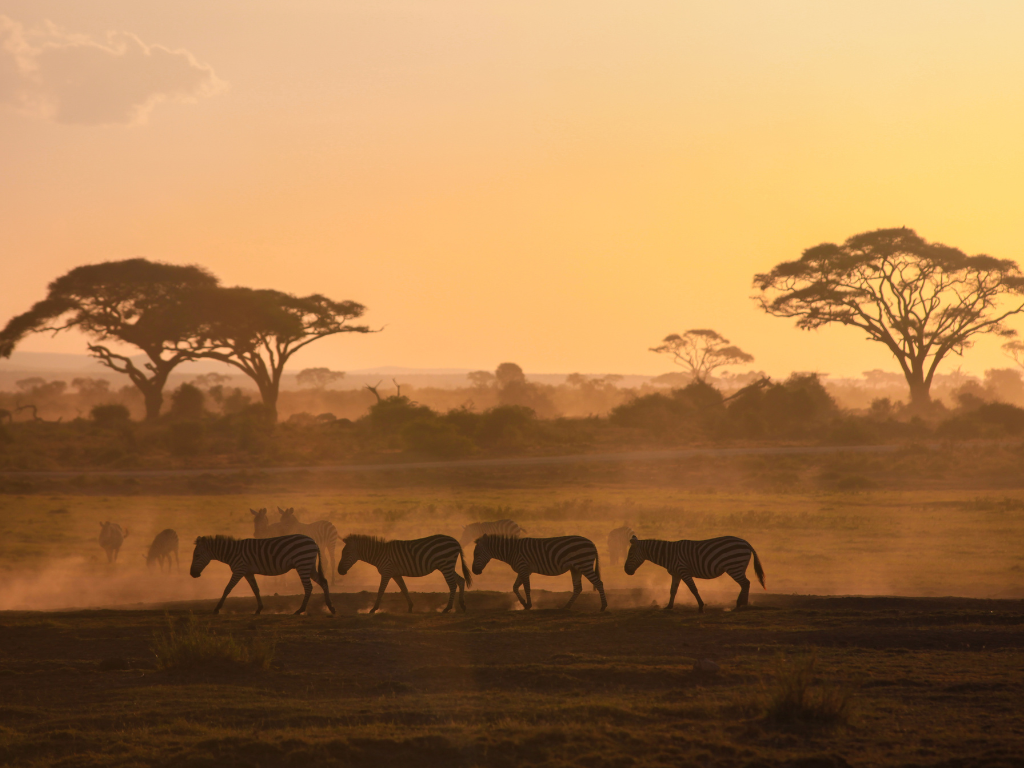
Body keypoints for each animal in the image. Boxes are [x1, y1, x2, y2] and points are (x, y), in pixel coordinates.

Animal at [189, 536, 335, 618]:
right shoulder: (247, 572)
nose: (192, 574)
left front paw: (217, 609)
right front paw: (259, 609)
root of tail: (313, 542)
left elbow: (227, 589)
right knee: (324, 582)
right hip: (309, 565)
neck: (232, 553)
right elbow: (256, 590)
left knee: (308, 587)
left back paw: (300, 610)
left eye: (196, 555)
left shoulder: (239, 570)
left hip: (302, 563)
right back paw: (330, 607)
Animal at [339, 536, 475, 614]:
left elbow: (381, 590)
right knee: (461, 580)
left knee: (452, 585)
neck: (379, 554)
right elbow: (404, 589)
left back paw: (447, 608)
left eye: (347, 553)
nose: (339, 571)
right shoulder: (395, 574)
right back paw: (462, 605)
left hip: (445, 565)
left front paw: (373, 609)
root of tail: (455, 541)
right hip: (447, 566)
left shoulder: (387, 572)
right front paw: (410, 607)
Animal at [473, 536, 606, 614]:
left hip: (584, 564)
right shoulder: (523, 569)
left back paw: (603, 606)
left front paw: (529, 604)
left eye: (476, 553)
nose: (474, 571)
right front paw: (524, 603)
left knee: (599, 583)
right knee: (578, 588)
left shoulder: (523, 568)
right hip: (575, 568)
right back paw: (566, 606)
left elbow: (527, 587)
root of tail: (592, 543)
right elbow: (515, 587)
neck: (511, 551)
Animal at [618, 536, 765, 614]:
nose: (626, 571)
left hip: (734, 566)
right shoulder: (676, 574)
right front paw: (669, 606)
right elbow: (673, 590)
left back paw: (741, 605)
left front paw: (701, 606)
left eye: (630, 554)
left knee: (745, 583)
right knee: (745, 583)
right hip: (738, 567)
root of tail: (746, 542)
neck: (669, 555)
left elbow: (693, 589)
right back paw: (741, 604)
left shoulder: (684, 571)